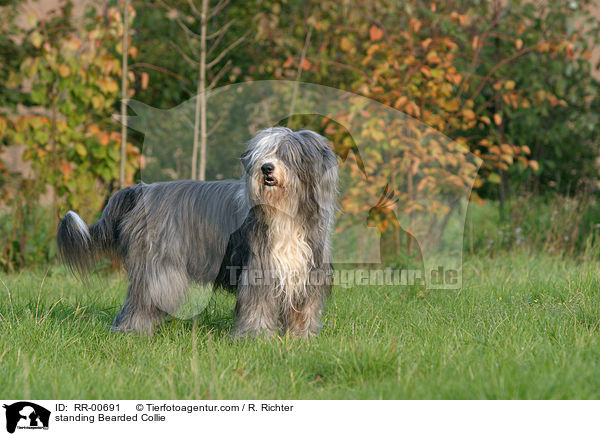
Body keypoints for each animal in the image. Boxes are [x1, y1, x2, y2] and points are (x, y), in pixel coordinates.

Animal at [56, 126, 338, 338]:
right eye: (262, 154)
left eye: (287, 154)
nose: (266, 168)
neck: (285, 214)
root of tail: (141, 191)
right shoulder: (260, 268)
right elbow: (257, 306)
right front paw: (255, 338)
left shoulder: (308, 270)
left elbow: (304, 309)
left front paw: (301, 338)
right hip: (158, 265)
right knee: (141, 300)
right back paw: (132, 331)